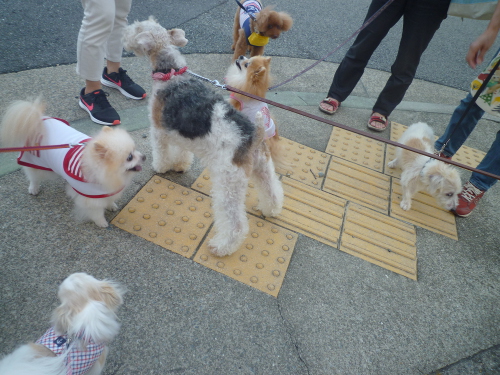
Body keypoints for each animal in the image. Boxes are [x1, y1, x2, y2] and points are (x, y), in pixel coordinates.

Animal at [0, 98, 145, 228]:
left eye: (135, 149)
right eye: (129, 157)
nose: (144, 157)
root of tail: (37, 119)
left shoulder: (107, 191)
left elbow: (109, 200)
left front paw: (111, 206)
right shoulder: (91, 199)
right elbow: (97, 213)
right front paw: (102, 223)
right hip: (36, 162)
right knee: (34, 177)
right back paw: (33, 189)